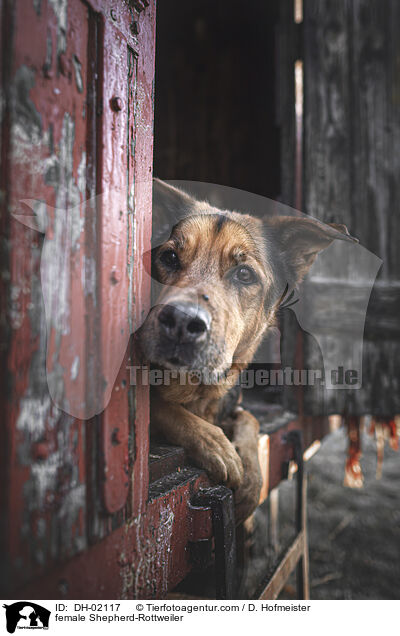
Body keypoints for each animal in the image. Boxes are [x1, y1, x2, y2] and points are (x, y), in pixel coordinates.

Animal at [138, 180, 356, 520]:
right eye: (170, 257)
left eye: (244, 274)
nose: (181, 321)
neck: (196, 391)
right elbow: (161, 407)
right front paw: (216, 445)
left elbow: (249, 419)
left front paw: (252, 477)